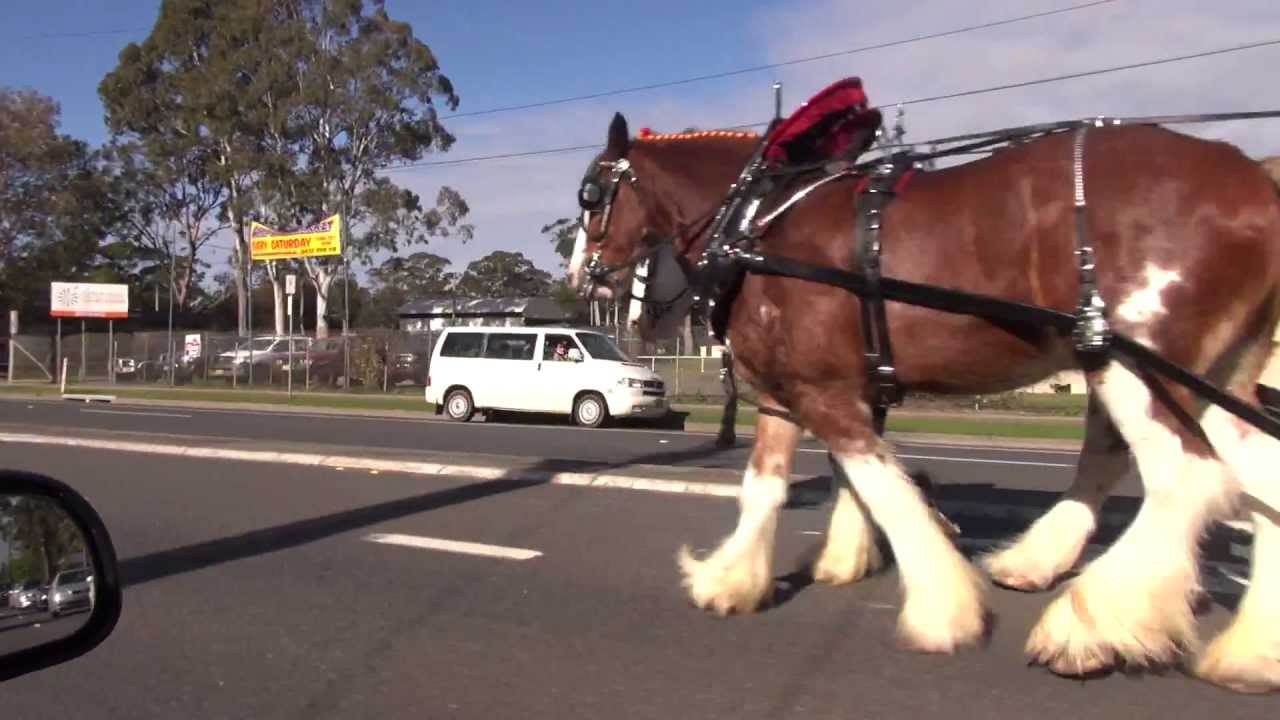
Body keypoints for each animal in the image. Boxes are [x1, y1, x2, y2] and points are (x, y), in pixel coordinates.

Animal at [567, 112, 1280, 693]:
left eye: (592, 194)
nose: (582, 278)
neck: (759, 223)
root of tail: (1257, 184)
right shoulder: (788, 394)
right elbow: (770, 487)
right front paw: (735, 580)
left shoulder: (822, 391)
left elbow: (886, 490)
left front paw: (943, 608)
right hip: (1215, 377)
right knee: (1258, 479)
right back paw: (1250, 650)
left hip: (1133, 365)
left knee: (1185, 479)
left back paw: (1089, 625)